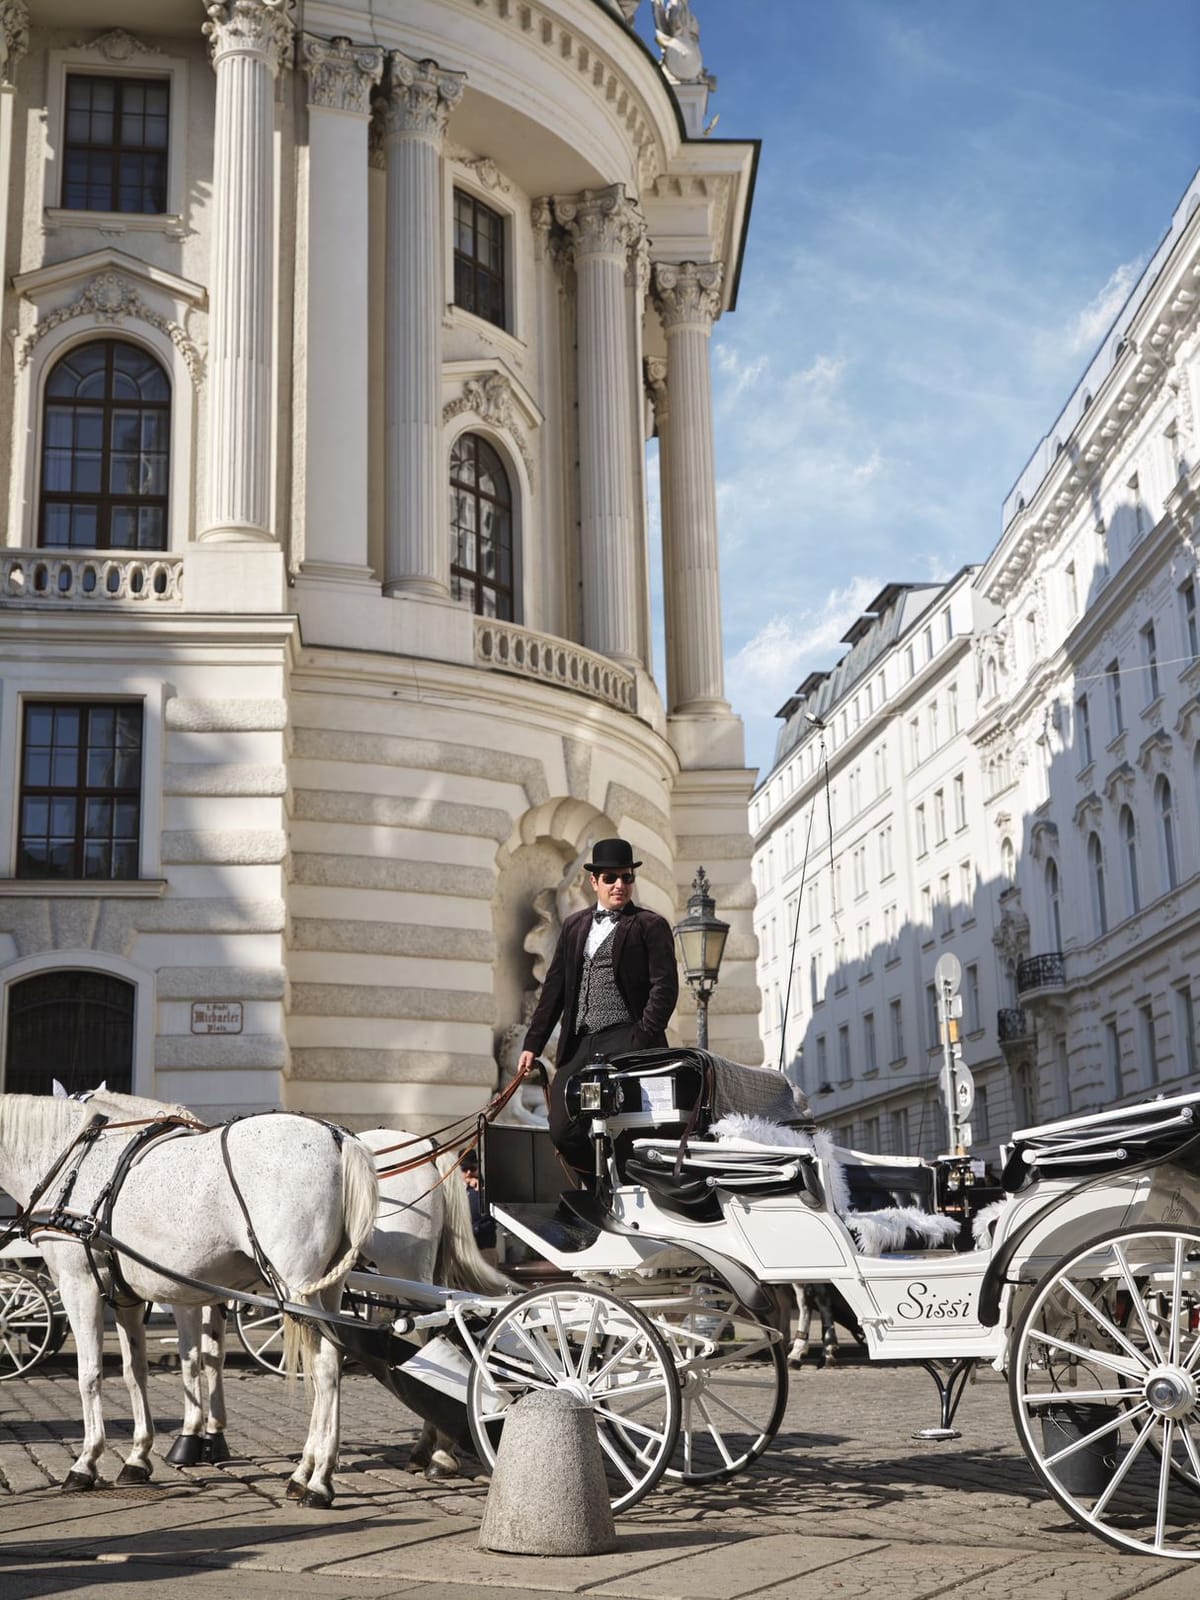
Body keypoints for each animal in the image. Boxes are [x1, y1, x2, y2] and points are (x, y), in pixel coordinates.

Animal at [0, 1091, 377, 1507]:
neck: (74, 1160)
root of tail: (336, 1137)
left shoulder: (77, 1284)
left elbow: (90, 1374)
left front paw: (86, 1462)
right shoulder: (126, 1298)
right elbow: (135, 1372)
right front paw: (137, 1457)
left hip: (297, 1287)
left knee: (323, 1369)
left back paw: (318, 1481)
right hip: (327, 1288)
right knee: (334, 1362)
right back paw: (306, 1473)